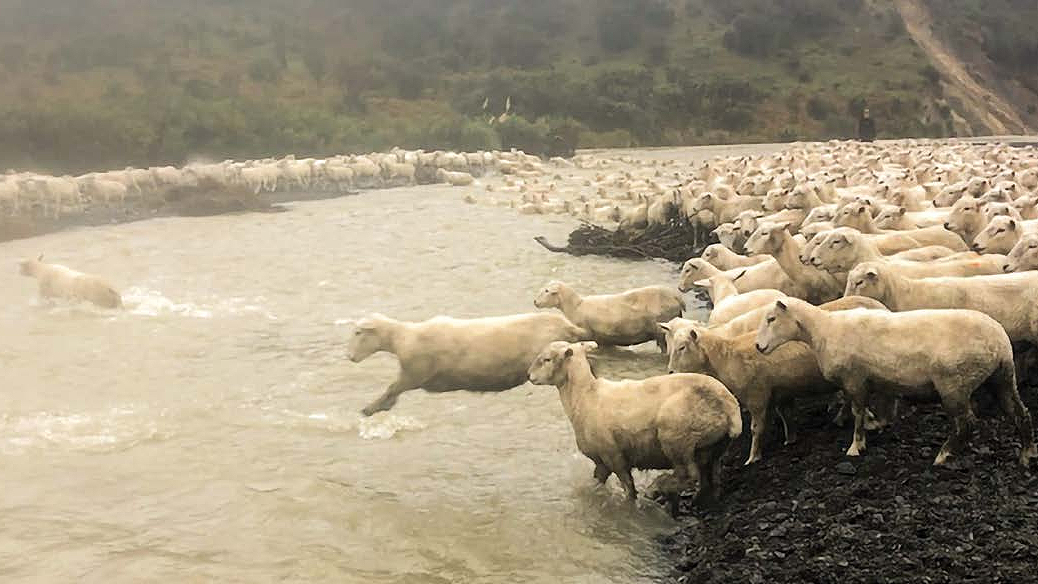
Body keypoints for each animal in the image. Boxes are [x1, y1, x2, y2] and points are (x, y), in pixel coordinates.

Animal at [527, 340, 747, 510]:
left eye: (546, 359)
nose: (529, 376)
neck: (584, 395)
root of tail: (729, 406)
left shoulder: (613, 455)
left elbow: (628, 487)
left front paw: (630, 506)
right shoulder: (602, 460)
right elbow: (597, 482)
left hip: (678, 435)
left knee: (689, 474)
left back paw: (659, 488)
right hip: (713, 445)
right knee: (710, 476)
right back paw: (702, 500)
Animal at [755, 298, 1038, 468]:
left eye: (771, 319)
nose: (758, 347)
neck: (822, 330)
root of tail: (998, 340)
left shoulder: (854, 379)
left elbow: (858, 413)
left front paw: (856, 446)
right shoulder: (871, 381)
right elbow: (875, 409)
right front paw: (876, 427)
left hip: (954, 384)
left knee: (965, 423)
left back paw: (943, 455)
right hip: (1002, 377)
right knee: (1020, 413)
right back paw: (1027, 453)